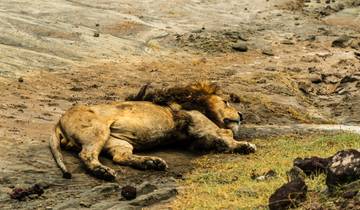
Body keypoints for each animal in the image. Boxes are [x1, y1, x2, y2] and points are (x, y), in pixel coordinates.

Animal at [50, 82, 256, 180]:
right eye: (226, 102)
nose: (241, 114)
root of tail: (58, 120)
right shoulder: (201, 124)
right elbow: (226, 134)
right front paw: (245, 146)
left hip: (117, 140)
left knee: (121, 157)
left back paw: (152, 163)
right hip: (98, 131)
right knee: (87, 155)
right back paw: (104, 172)